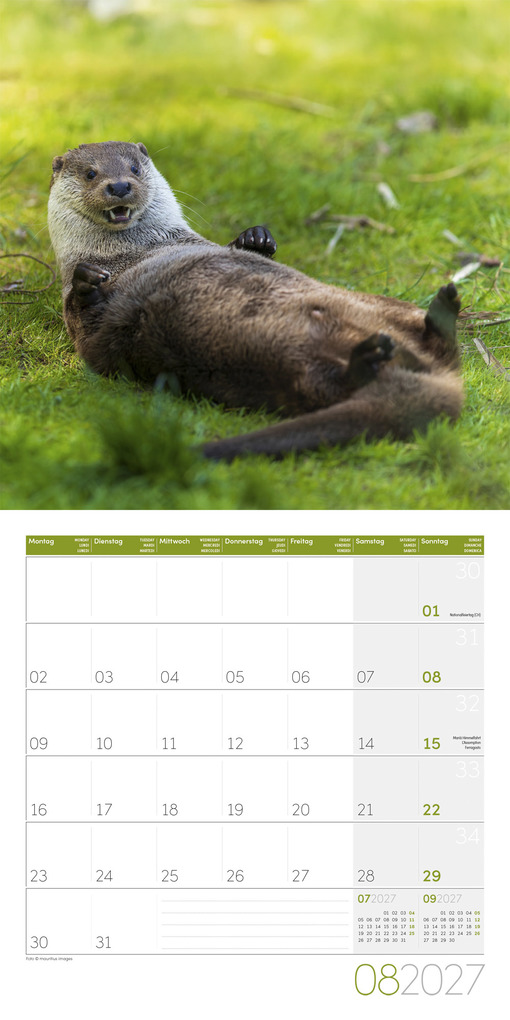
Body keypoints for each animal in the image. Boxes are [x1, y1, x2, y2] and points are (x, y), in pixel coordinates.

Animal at [48, 140, 463, 460]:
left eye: (134, 167)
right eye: (91, 174)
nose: (119, 185)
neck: (137, 250)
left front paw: (255, 238)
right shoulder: (90, 334)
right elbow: (91, 338)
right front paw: (87, 280)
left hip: (384, 306)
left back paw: (442, 311)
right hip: (286, 366)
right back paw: (370, 357)